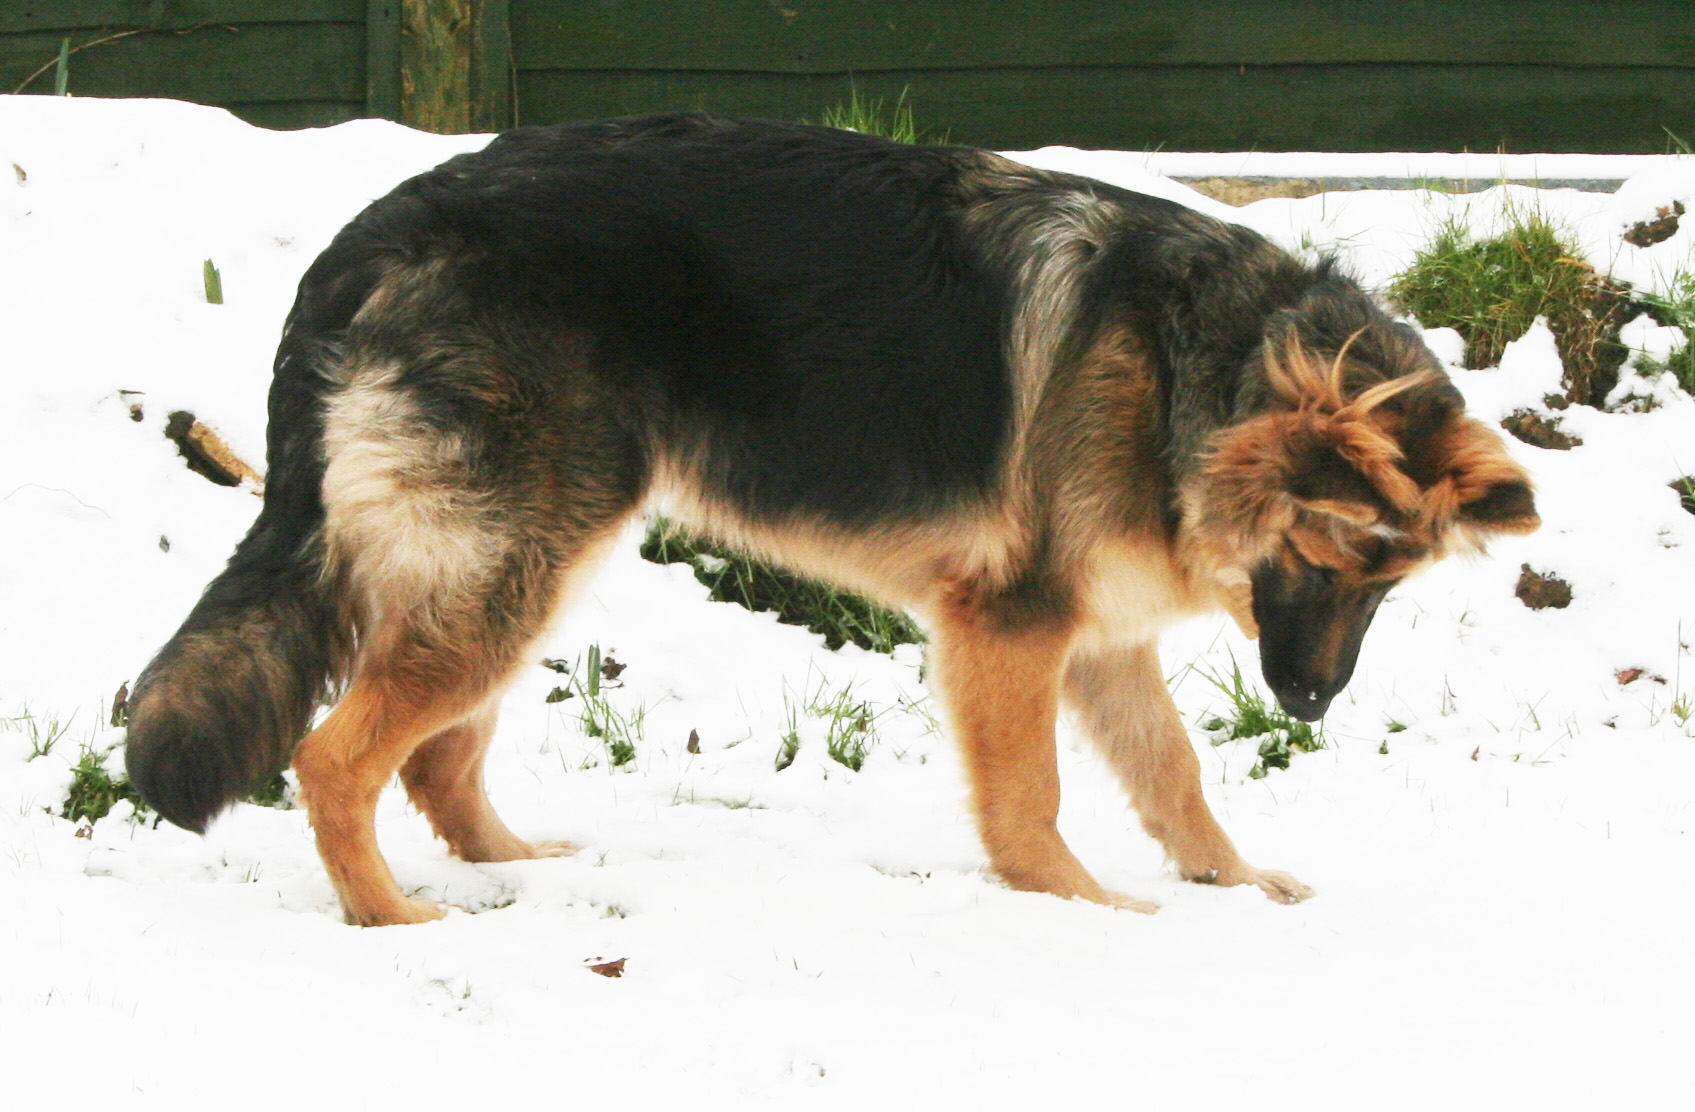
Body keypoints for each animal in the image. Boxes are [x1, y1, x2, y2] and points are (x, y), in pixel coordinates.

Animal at [125, 116, 1545, 922]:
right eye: (1329, 555)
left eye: (1390, 584)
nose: (1310, 706)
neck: (1202, 360)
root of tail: (369, 234)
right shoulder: (1012, 632)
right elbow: (1030, 798)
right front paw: (1082, 913)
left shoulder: (1103, 644)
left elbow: (1174, 774)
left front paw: (1234, 886)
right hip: (509, 564)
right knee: (336, 758)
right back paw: (390, 918)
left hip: (525, 562)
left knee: (429, 759)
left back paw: (516, 869)